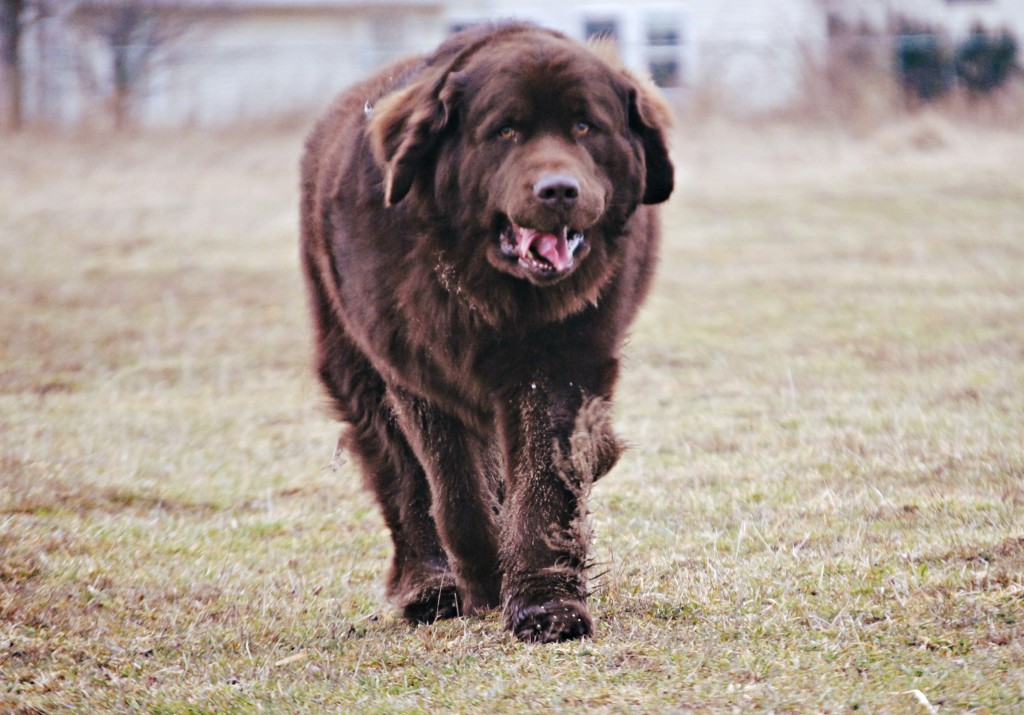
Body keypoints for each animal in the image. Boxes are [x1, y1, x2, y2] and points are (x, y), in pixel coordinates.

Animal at [299, 22, 675, 639]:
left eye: (584, 126)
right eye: (505, 131)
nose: (558, 189)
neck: (489, 292)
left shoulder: (560, 370)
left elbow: (544, 487)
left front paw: (547, 607)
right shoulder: (419, 373)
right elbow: (456, 497)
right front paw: (487, 581)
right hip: (356, 368)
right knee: (403, 482)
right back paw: (429, 587)